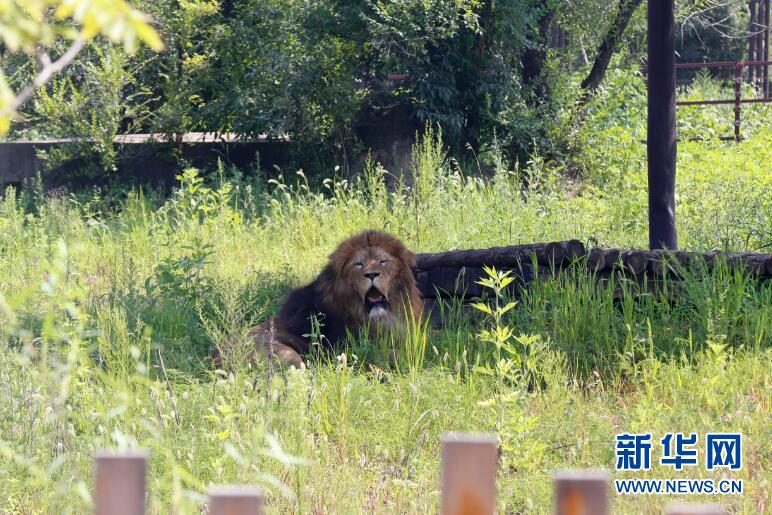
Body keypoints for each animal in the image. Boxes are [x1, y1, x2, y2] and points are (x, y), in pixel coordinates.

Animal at [252, 232, 422, 368]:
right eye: (358, 264)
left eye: (383, 261)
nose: (371, 274)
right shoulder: (346, 349)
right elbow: (394, 353)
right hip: (287, 355)